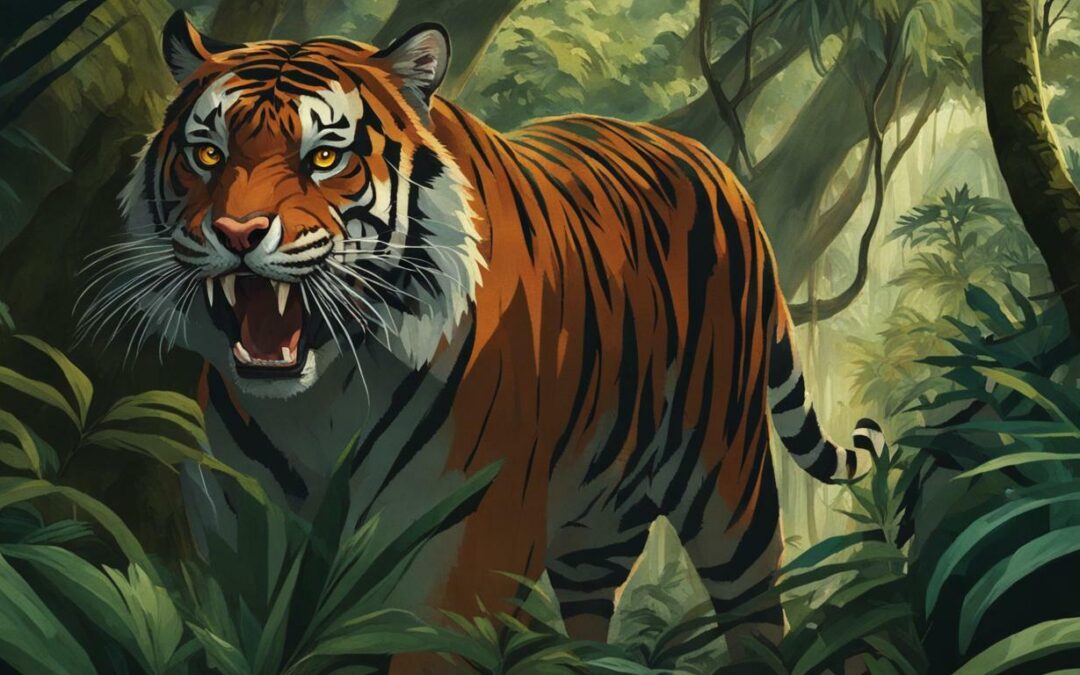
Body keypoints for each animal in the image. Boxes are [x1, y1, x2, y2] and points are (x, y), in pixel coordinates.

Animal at [85, 9, 883, 662]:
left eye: (324, 157)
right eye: (208, 154)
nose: (237, 232)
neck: (322, 399)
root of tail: (717, 164)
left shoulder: (465, 543)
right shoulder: (241, 539)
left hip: (728, 482)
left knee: (757, 612)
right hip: (594, 526)